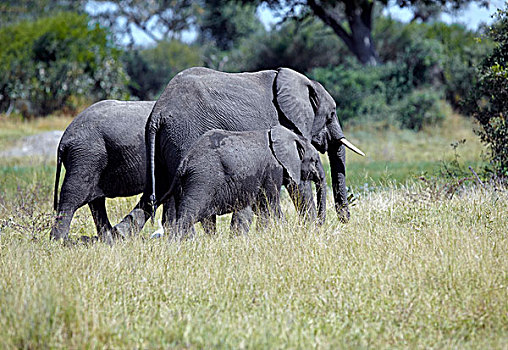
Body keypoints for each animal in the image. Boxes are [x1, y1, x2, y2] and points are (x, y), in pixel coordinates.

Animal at [157, 126, 328, 238]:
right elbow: (270, 204)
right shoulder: (273, 168)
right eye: (314, 159)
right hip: (202, 179)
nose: (318, 227)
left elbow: (260, 206)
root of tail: (184, 162)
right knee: (190, 214)